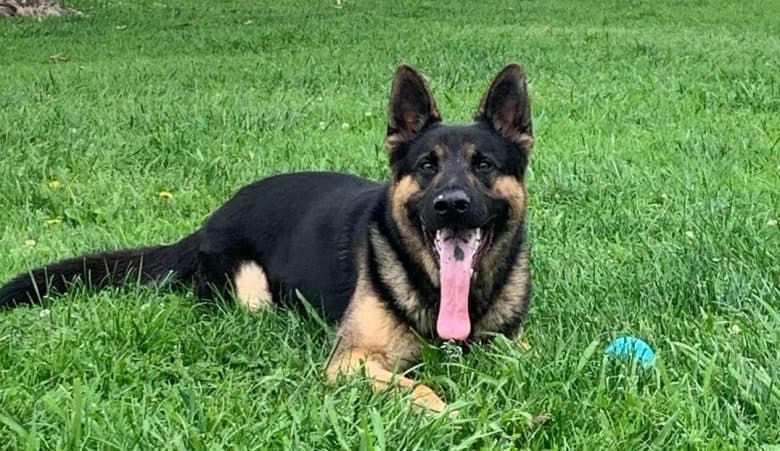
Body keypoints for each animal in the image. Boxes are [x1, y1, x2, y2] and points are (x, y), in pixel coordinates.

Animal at [0, 62, 532, 414]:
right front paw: (450, 411)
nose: (451, 205)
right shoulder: (350, 362)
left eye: (484, 165)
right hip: (252, 291)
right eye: (427, 166)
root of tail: (210, 220)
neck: (443, 294)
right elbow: (418, 388)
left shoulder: (516, 347)